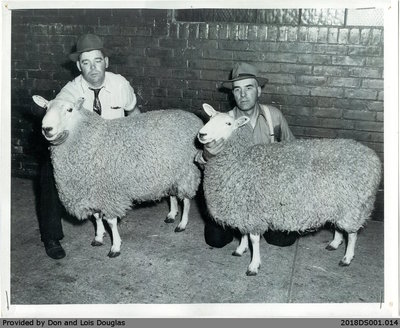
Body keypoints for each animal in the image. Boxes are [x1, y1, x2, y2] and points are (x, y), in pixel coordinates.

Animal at [33, 96, 203, 258]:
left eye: (69, 109)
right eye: (46, 108)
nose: (47, 129)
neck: (88, 138)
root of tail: (192, 117)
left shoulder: (109, 193)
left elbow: (111, 222)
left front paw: (115, 246)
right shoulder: (93, 190)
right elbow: (96, 216)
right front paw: (98, 237)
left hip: (187, 172)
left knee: (186, 200)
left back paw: (182, 224)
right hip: (171, 172)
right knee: (173, 194)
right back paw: (172, 215)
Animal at [197, 104, 382, 276]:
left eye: (228, 123)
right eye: (210, 118)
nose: (201, 134)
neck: (242, 158)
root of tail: (371, 156)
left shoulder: (254, 209)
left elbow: (254, 239)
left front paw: (254, 265)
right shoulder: (242, 208)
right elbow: (243, 232)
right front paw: (241, 249)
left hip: (355, 205)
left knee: (352, 233)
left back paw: (347, 258)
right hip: (337, 202)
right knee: (339, 226)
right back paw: (335, 243)